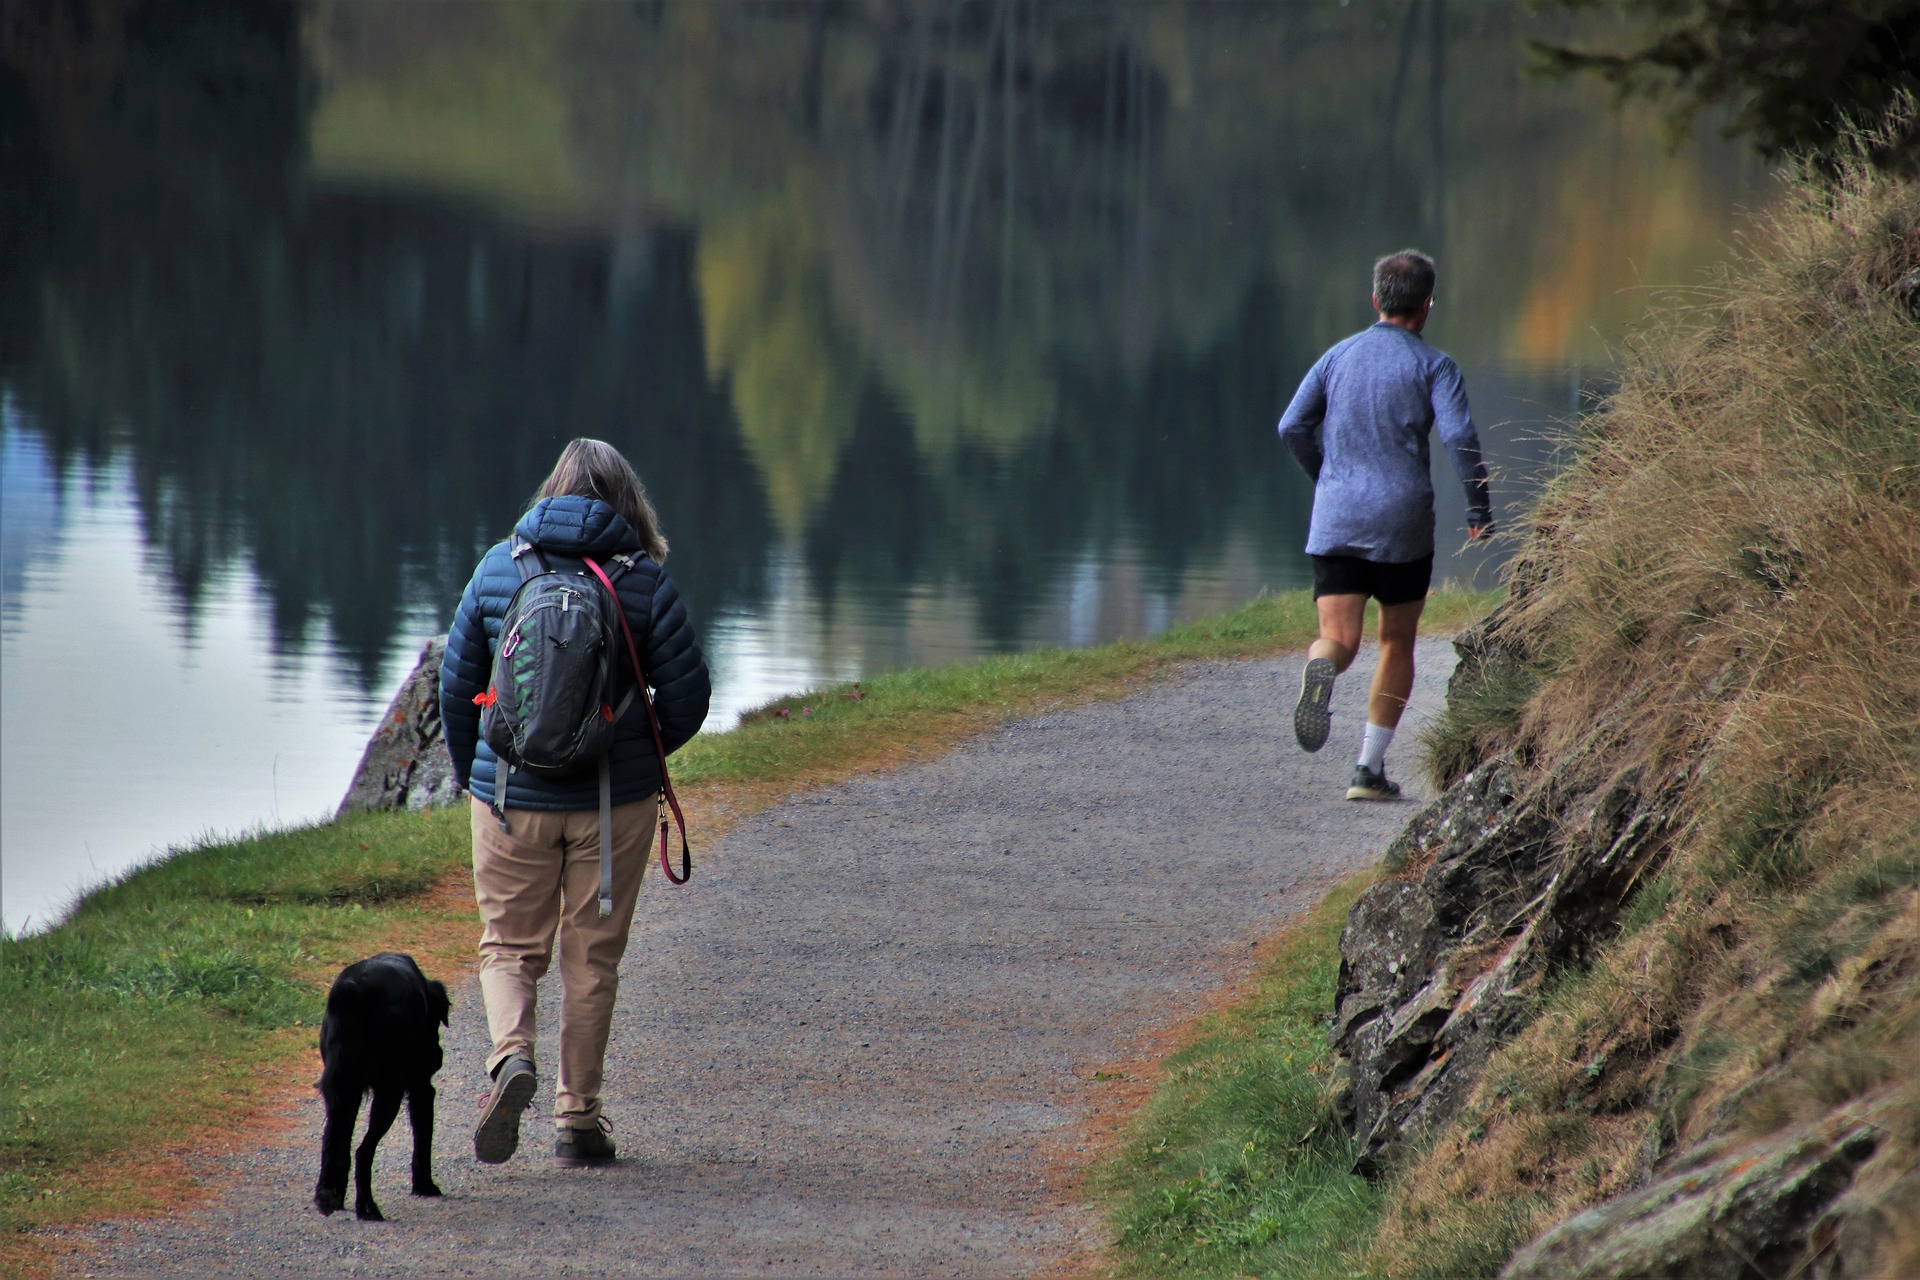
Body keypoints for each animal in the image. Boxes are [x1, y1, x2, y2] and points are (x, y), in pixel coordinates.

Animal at [314, 951, 449, 1220]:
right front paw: (425, 1186)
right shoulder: (421, 1088)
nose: (438, 1055)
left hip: (340, 1088)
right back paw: (367, 1208)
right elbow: (423, 1140)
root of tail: (350, 993)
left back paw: (329, 1196)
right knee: (363, 1151)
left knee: (335, 1144)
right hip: (389, 1092)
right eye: (436, 1021)